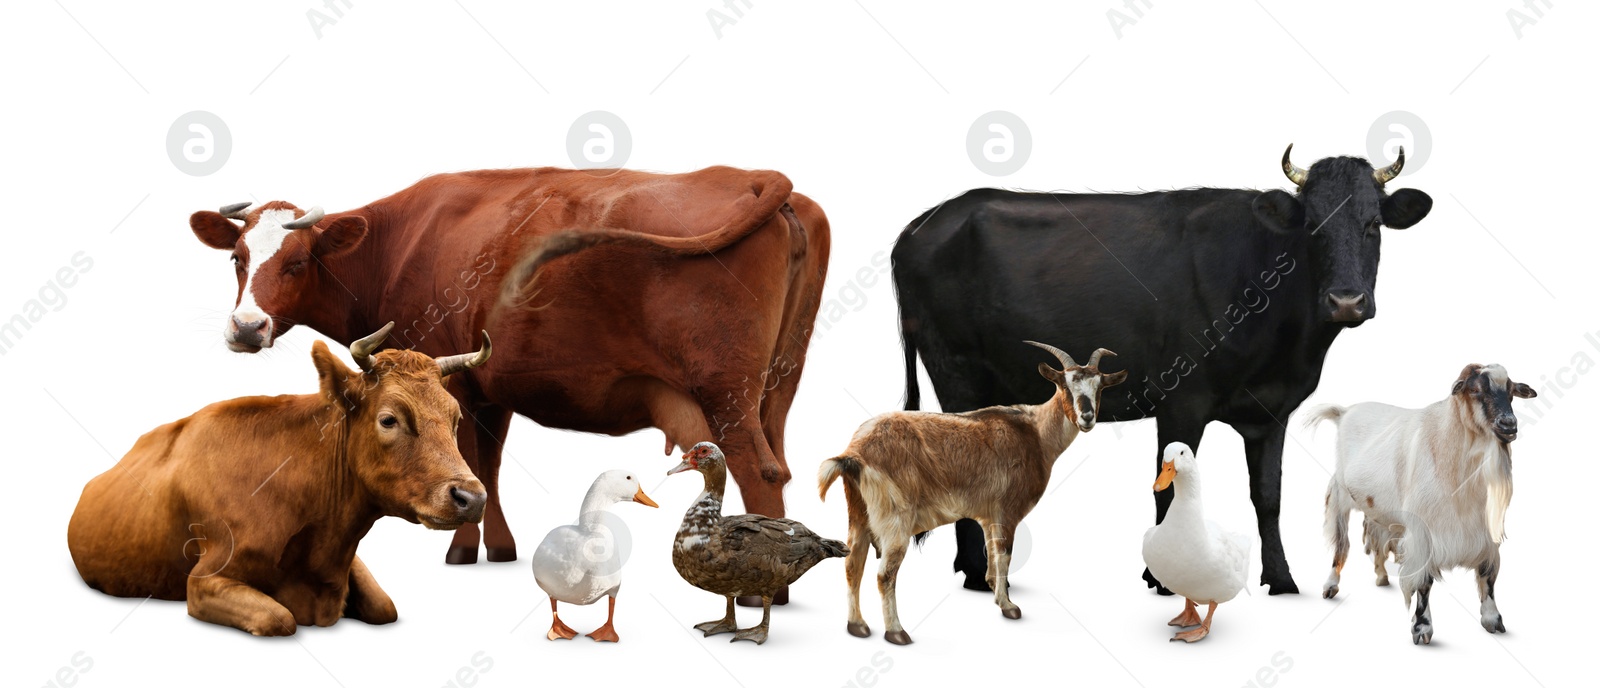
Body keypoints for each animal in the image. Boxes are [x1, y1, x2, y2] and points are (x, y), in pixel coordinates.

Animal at [68, 323, 489, 633]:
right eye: (389, 419)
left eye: (456, 420)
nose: (472, 498)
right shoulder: (203, 581)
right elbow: (279, 618)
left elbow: (385, 607)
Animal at [192, 166, 832, 579]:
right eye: (237, 259)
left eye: (298, 261)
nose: (246, 327)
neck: (397, 245)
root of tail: (749, 175)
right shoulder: (487, 384)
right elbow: (489, 463)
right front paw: (495, 546)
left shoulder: (448, 374)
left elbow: (471, 459)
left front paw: (460, 546)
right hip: (780, 383)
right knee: (779, 462)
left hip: (727, 392)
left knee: (757, 469)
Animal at [819, 340, 1120, 643]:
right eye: (1064, 385)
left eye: (1100, 387)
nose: (1087, 417)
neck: (1034, 432)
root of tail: (853, 454)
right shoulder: (1007, 512)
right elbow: (1005, 554)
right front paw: (1009, 607)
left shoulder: (988, 516)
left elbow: (992, 554)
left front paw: (994, 593)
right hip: (894, 521)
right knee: (884, 575)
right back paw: (897, 632)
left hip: (858, 514)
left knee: (852, 565)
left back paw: (857, 626)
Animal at [896, 146, 1433, 595]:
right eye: (1312, 225)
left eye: (1373, 223)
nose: (1346, 300)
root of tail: (920, 224)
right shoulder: (1182, 401)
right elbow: (1167, 488)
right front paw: (1162, 579)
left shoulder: (1271, 410)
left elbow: (1268, 496)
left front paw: (1281, 579)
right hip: (955, 373)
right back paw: (975, 573)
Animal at [1312, 364, 1536, 646]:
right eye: (1474, 390)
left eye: (1511, 392)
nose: (1508, 424)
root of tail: (1344, 411)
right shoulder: (1422, 534)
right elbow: (1424, 582)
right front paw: (1422, 628)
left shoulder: (1484, 531)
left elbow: (1487, 574)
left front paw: (1493, 619)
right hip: (1340, 495)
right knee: (1341, 544)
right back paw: (1331, 585)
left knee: (1375, 535)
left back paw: (1381, 576)